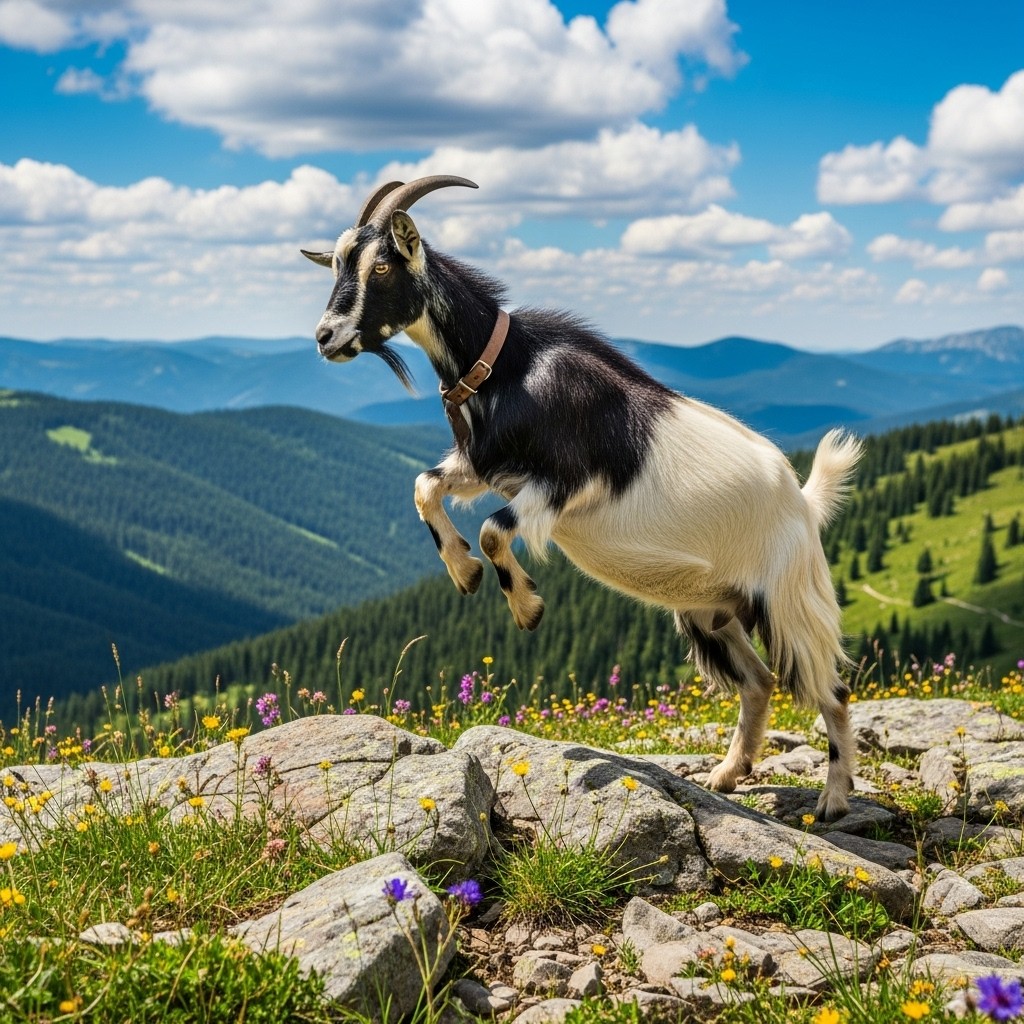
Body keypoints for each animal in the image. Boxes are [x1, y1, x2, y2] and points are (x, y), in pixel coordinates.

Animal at [302, 175, 863, 820]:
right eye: (337, 262)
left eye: (382, 265)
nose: (326, 337)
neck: (510, 369)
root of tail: (803, 503)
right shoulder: (486, 466)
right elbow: (424, 487)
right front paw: (464, 572)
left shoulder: (559, 485)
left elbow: (494, 529)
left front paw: (526, 606)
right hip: (710, 610)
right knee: (759, 681)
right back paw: (727, 774)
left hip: (791, 599)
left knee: (832, 688)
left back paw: (834, 799)